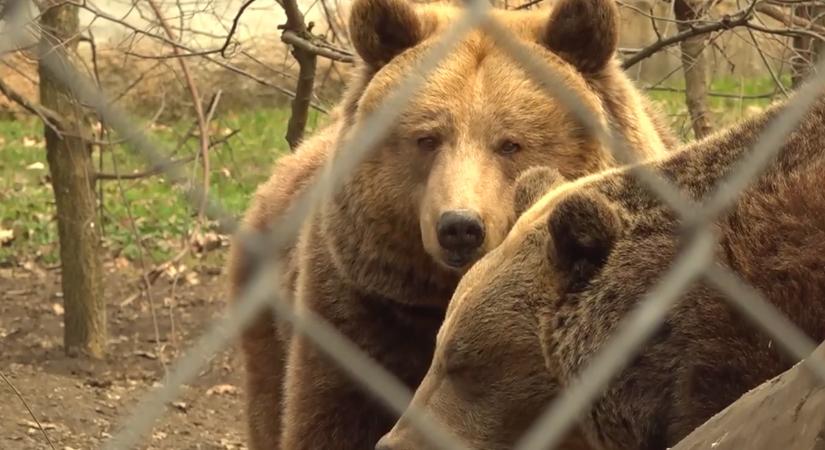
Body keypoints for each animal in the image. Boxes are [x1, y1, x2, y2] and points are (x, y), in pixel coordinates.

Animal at [227, 0, 676, 446]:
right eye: (427, 139)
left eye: (510, 143)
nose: (460, 226)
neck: (441, 295)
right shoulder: (357, 313)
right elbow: (331, 417)